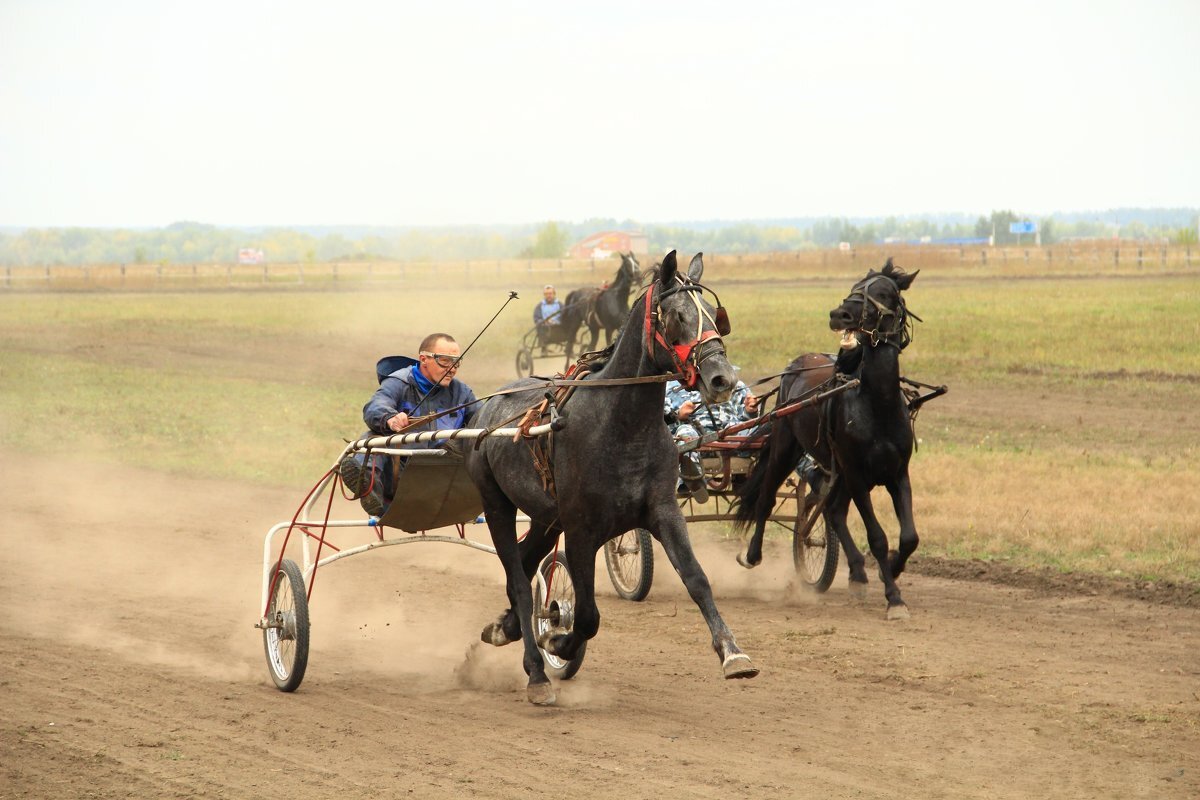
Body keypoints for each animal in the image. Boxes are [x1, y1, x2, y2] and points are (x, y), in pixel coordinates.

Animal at [460, 251, 753, 705]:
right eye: (676, 316)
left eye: (713, 314)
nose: (722, 378)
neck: (620, 424)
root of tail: (488, 408)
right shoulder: (581, 531)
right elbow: (587, 616)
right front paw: (557, 641)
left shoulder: (663, 511)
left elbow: (697, 580)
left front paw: (732, 652)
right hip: (497, 505)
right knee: (521, 581)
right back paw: (536, 672)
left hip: (546, 517)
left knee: (523, 564)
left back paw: (504, 628)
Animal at [729, 260, 916, 623]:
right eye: (856, 286)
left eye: (884, 292)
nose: (839, 314)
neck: (878, 405)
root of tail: (796, 365)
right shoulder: (856, 473)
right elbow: (878, 538)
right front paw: (895, 598)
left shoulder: (898, 472)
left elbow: (909, 537)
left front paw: (893, 569)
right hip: (787, 447)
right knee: (767, 498)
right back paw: (753, 554)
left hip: (836, 469)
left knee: (832, 510)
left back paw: (857, 573)